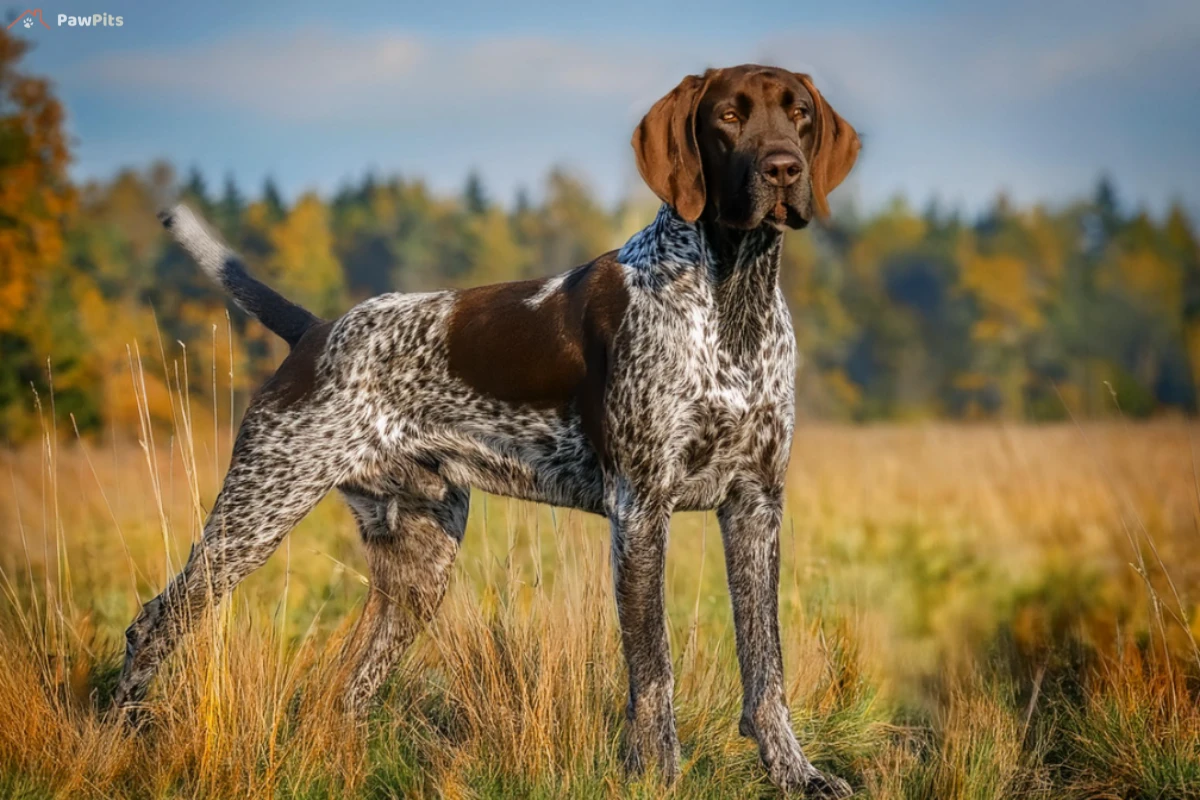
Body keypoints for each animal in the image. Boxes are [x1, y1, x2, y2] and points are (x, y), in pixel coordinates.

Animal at [112, 62, 859, 796]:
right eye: (728, 117)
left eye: (798, 114)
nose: (785, 168)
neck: (733, 299)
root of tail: (316, 330)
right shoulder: (642, 507)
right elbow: (654, 673)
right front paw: (657, 777)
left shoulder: (755, 506)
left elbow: (766, 669)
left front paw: (797, 774)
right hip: (259, 509)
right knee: (157, 622)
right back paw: (121, 738)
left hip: (418, 563)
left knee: (347, 685)